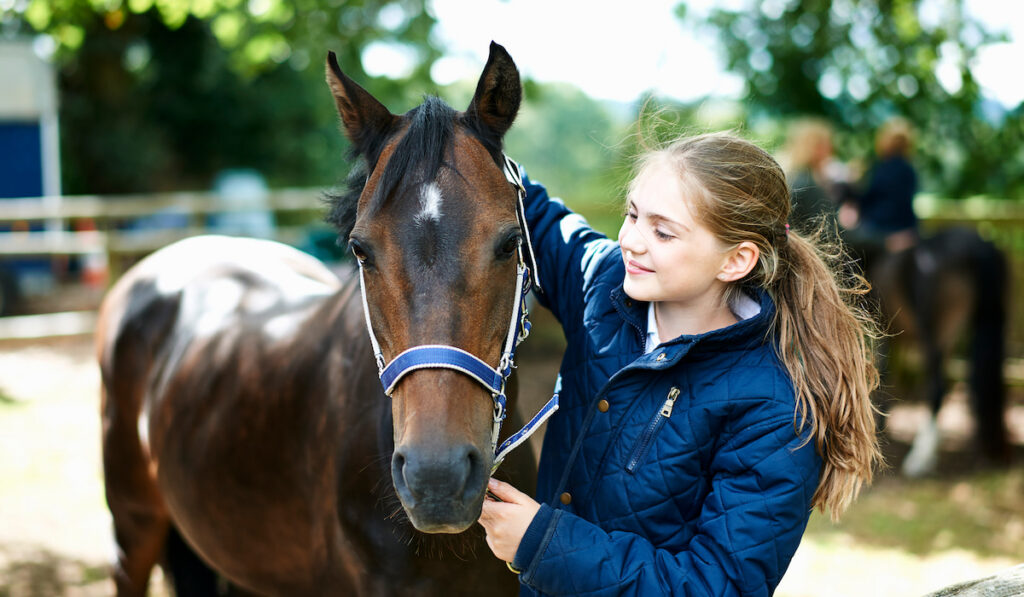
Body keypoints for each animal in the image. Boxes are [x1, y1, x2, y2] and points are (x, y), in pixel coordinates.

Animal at [856, 224, 1007, 477]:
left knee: (937, 388)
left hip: (935, 334)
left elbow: (883, 375)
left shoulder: (883, 334)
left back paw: (921, 457)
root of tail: (976, 246)